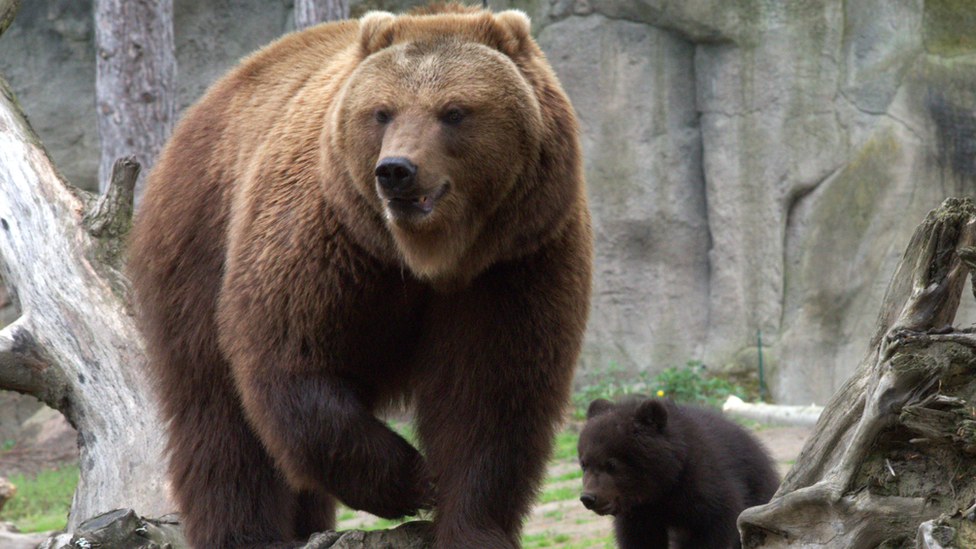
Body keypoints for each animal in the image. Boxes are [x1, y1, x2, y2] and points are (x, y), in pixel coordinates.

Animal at [126, 3, 592, 548]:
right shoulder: (329, 243)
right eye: (382, 111)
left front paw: (469, 524)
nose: (396, 170)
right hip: (198, 244)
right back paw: (243, 532)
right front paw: (413, 479)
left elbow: (492, 397)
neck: (429, 257)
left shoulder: (515, 260)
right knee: (217, 416)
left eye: (454, 111)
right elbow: (294, 365)